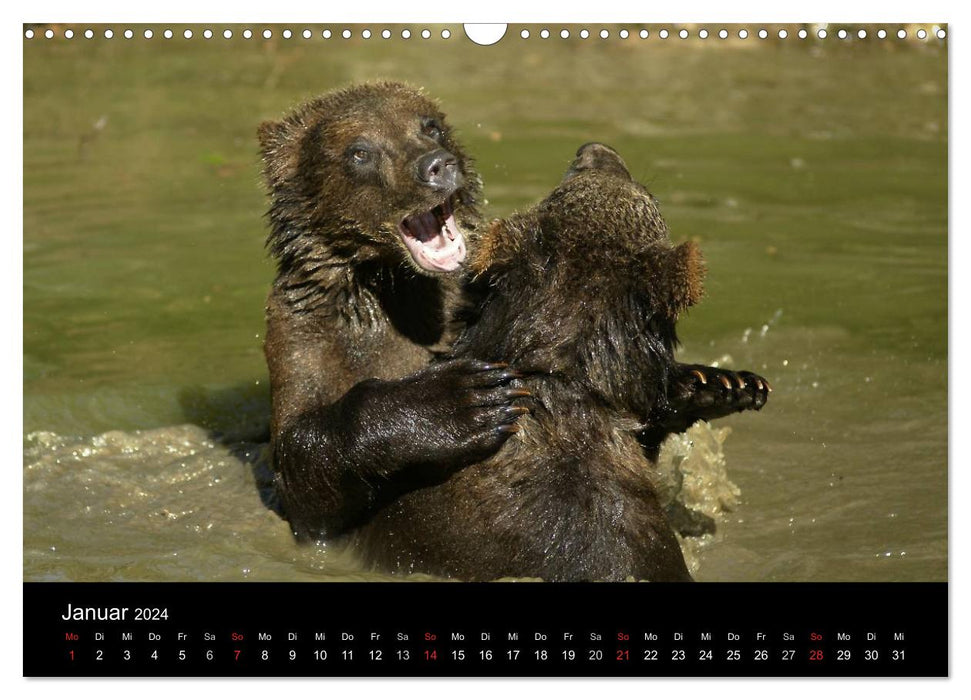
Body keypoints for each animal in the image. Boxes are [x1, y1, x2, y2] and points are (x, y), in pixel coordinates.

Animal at [260, 82, 776, 584]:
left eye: (430, 127)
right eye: (361, 152)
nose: (594, 147)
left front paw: (719, 383)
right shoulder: (304, 336)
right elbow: (305, 475)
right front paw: (461, 400)